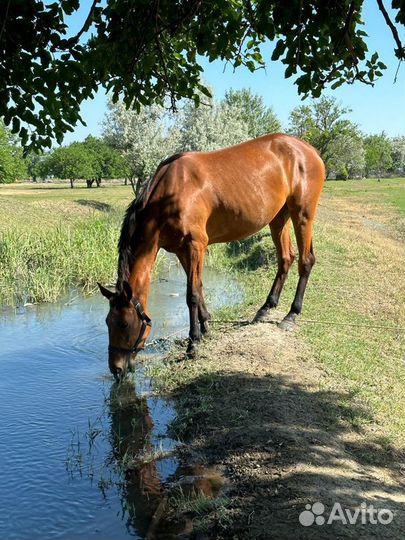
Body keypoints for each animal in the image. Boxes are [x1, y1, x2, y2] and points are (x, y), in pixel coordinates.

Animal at [98, 133, 326, 382]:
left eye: (123, 324)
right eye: (107, 321)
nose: (116, 369)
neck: (170, 194)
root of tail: (308, 149)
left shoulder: (195, 245)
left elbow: (191, 295)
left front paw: (193, 344)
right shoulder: (181, 250)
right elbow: (199, 288)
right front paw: (206, 326)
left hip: (302, 215)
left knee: (306, 261)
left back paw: (291, 314)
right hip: (278, 218)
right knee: (285, 258)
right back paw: (265, 308)